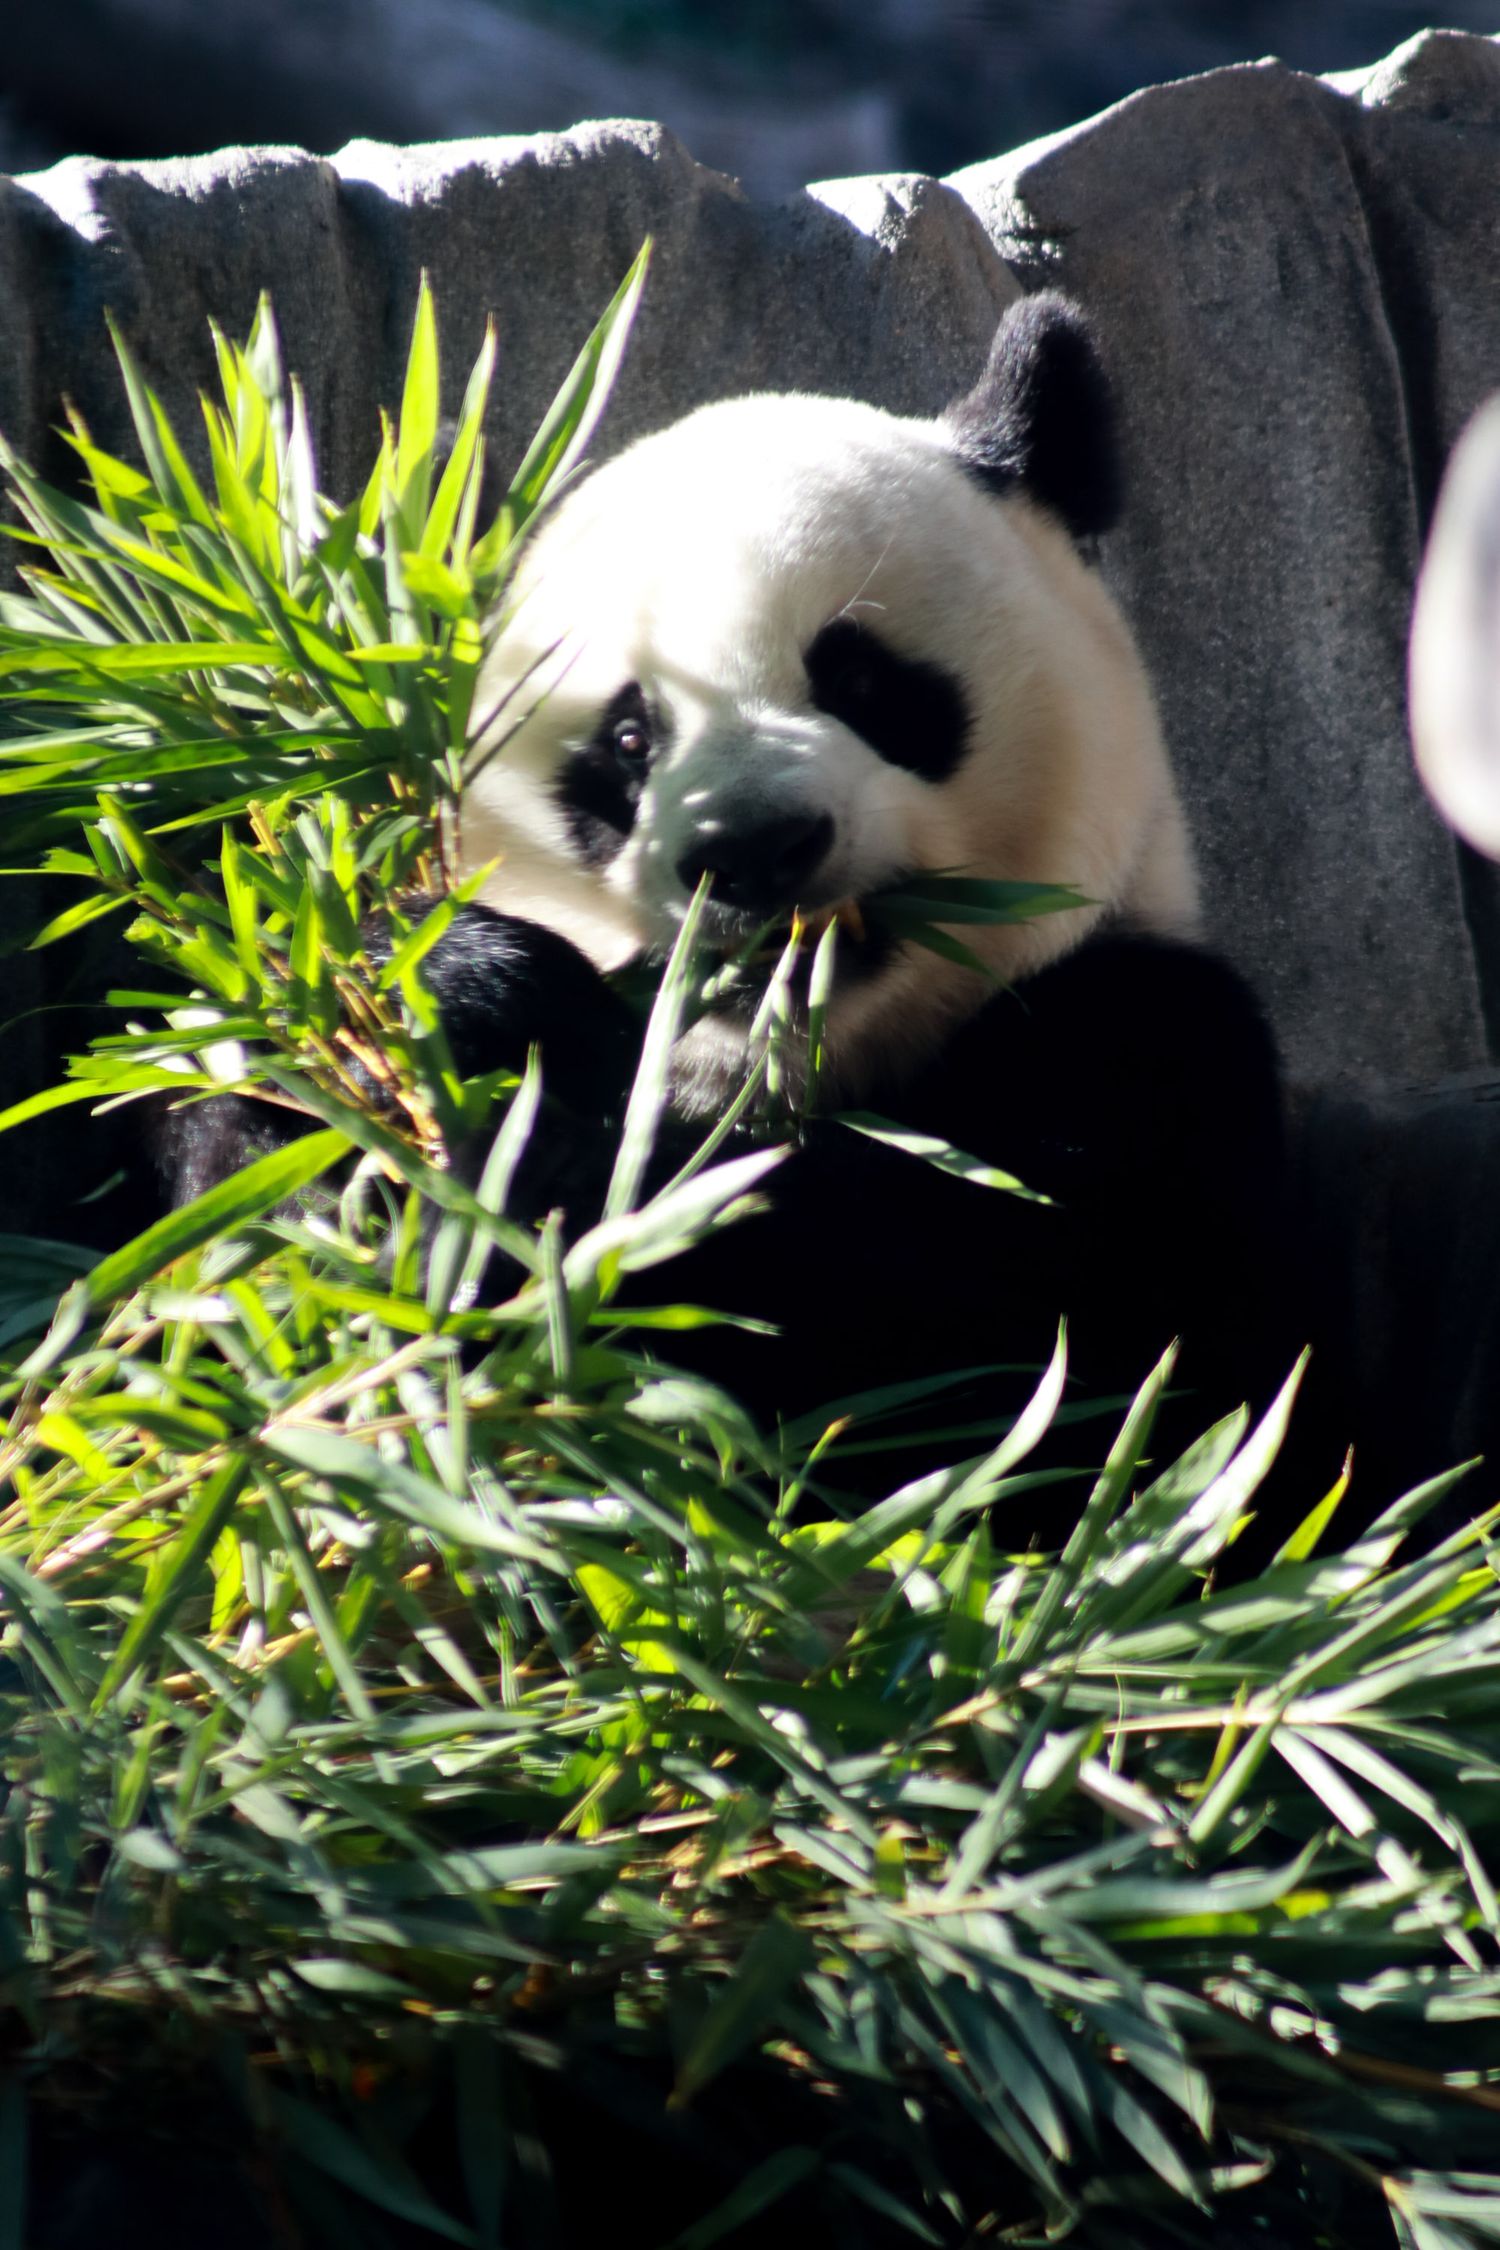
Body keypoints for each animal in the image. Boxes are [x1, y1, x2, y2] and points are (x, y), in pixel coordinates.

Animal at [154, 292, 1291, 1492]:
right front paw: (467, 1007)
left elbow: (976, 1359)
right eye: (627, 741)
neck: (772, 1071)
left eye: (862, 680)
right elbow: (247, 1270)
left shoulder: (1143, 1066)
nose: (750, 846)